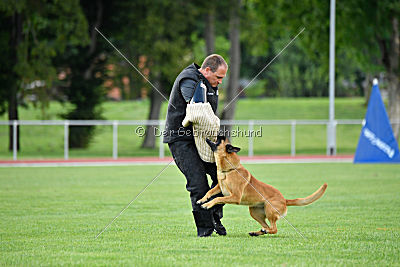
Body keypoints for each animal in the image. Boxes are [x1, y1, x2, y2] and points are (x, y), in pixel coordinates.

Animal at [198, 137, 328, 238]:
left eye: (221, 140)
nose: (221, 133)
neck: (229, 170)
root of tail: (284, 200)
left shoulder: (235, 197)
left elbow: (217, 198)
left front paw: (207, 205)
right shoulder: (220, 188)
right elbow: (210, 192)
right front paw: (202, 200)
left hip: (269, 210)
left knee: (274, 229)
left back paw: (264, 231)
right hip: (255, 212)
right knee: (266, 226)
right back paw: (258, 232)